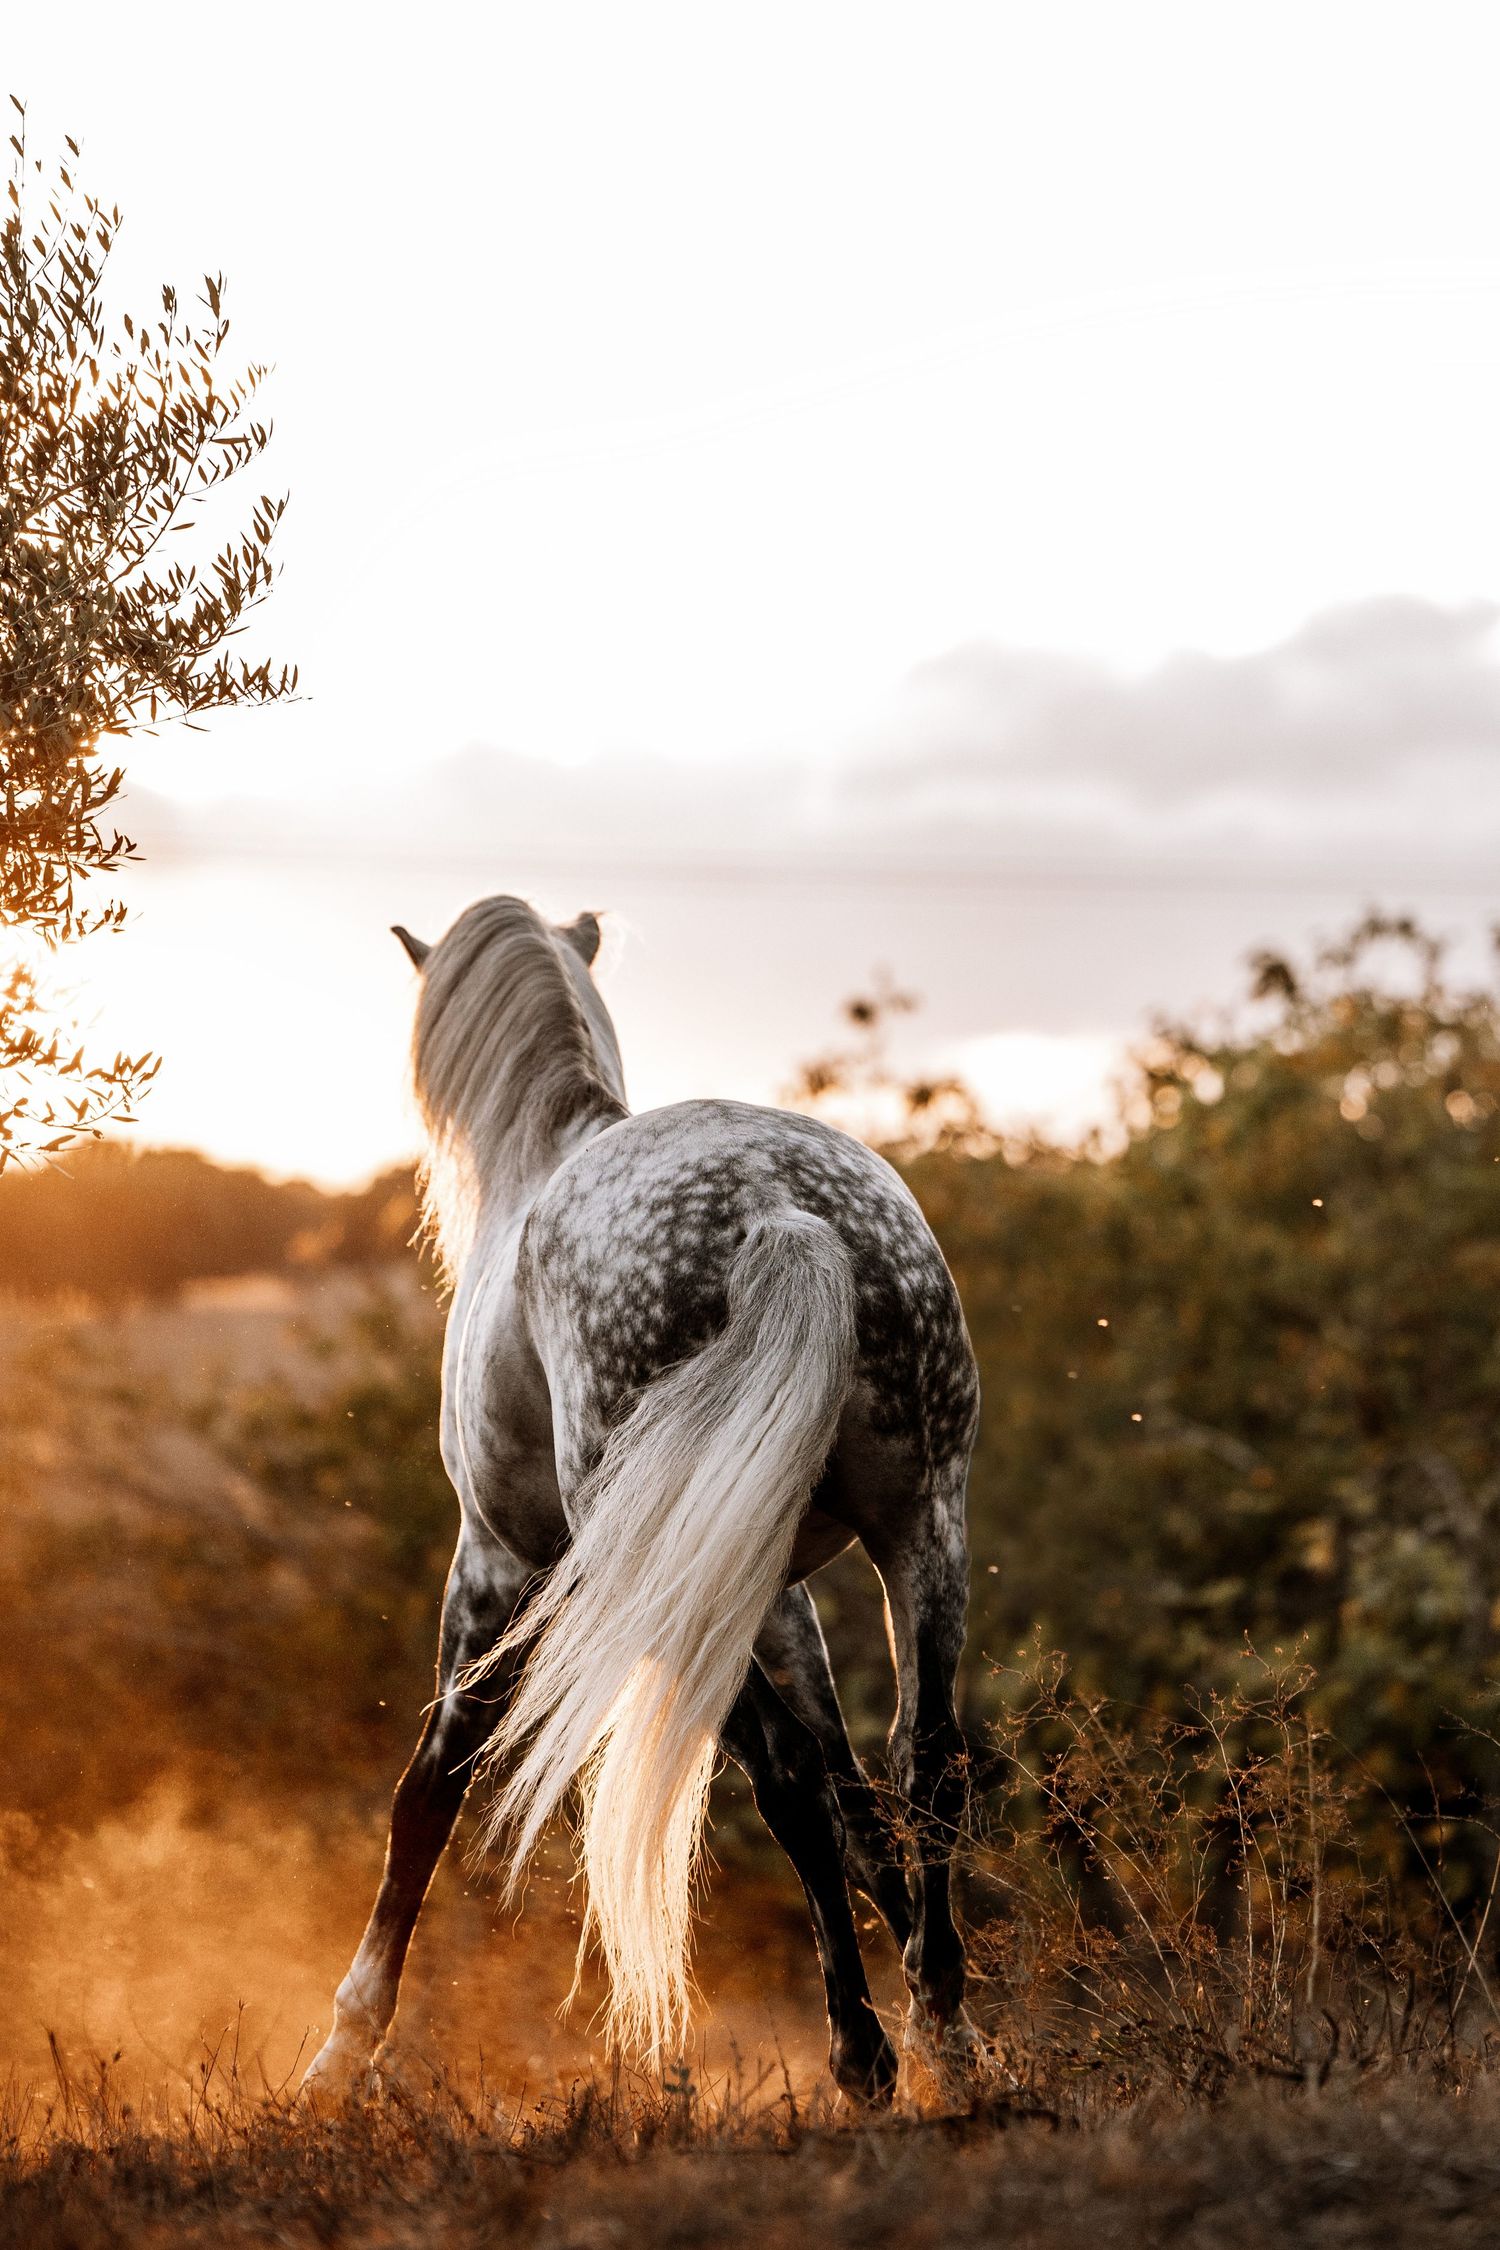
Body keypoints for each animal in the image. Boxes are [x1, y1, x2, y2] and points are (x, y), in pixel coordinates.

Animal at [300, 894, 980, 2104]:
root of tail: (780, 1212)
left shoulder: (492, 1564)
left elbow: (431, 1785)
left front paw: (344, 2047)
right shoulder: (783, 1591)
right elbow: (860, 1796)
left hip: (675, 1583)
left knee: (791, 1782)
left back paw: (863, 2055)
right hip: (918, 1527)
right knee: (921, 1763)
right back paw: (944, 2029)